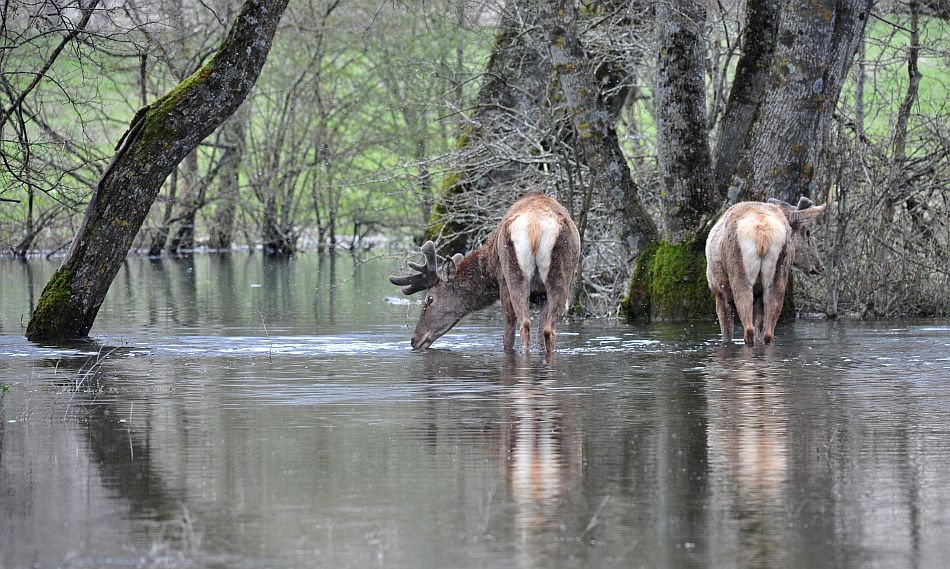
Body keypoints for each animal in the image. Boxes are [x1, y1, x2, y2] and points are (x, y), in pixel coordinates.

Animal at [390, 192, 584, 350]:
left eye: (430, 299)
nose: (414, 340)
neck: (489, 265)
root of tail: (536, 226)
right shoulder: (542, 294)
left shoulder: (502, 282)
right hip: (560, 276)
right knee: (548, 330)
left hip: (513, 277)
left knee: (521, 326)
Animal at [704, 195, 828, 346]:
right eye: (808, 232)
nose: (820, 266)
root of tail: (762, 231)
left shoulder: (718, 292)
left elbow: (727, 336)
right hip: (777, 277)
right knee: (768, 333)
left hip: (740, 276)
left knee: (749, 330)